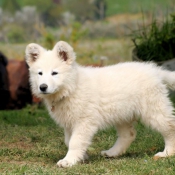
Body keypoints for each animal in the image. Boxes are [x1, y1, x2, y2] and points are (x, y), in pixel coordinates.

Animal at [25, 40, 175, 167]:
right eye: (40, 73)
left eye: (54, 73)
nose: (43, 87)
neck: (72, 87)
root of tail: (154, 69)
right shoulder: (69, 123)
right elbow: (69, 141)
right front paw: (81, 156)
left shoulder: (84, 121)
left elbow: (75, 141)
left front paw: (69, 161)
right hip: (121, 113)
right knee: (129, 134)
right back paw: (112, 153)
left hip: (153, 109)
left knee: (169, 127)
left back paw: (167, 153)